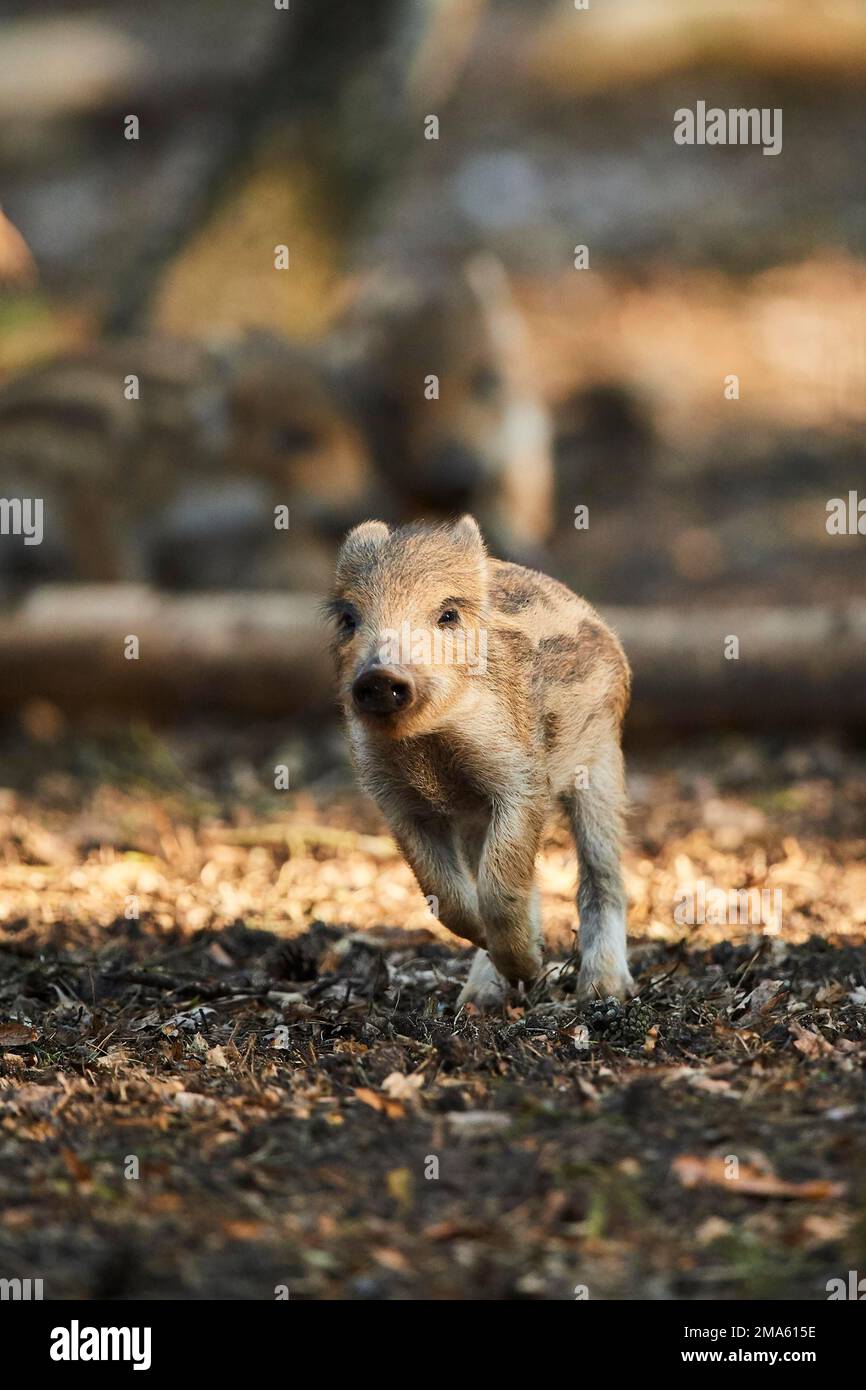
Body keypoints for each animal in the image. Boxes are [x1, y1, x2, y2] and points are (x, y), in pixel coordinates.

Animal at [328, 514, 634, 1007]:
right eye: (349, 619)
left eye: (447, 615)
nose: (379, 675)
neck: (428, 747)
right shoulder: (397, 801)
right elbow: (445, 895)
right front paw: (517, 968)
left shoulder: (520, 778)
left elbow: (499, 883)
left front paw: (529, 967)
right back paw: (480, 999)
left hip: (603, 761)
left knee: (601, 876)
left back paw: (601, 991)